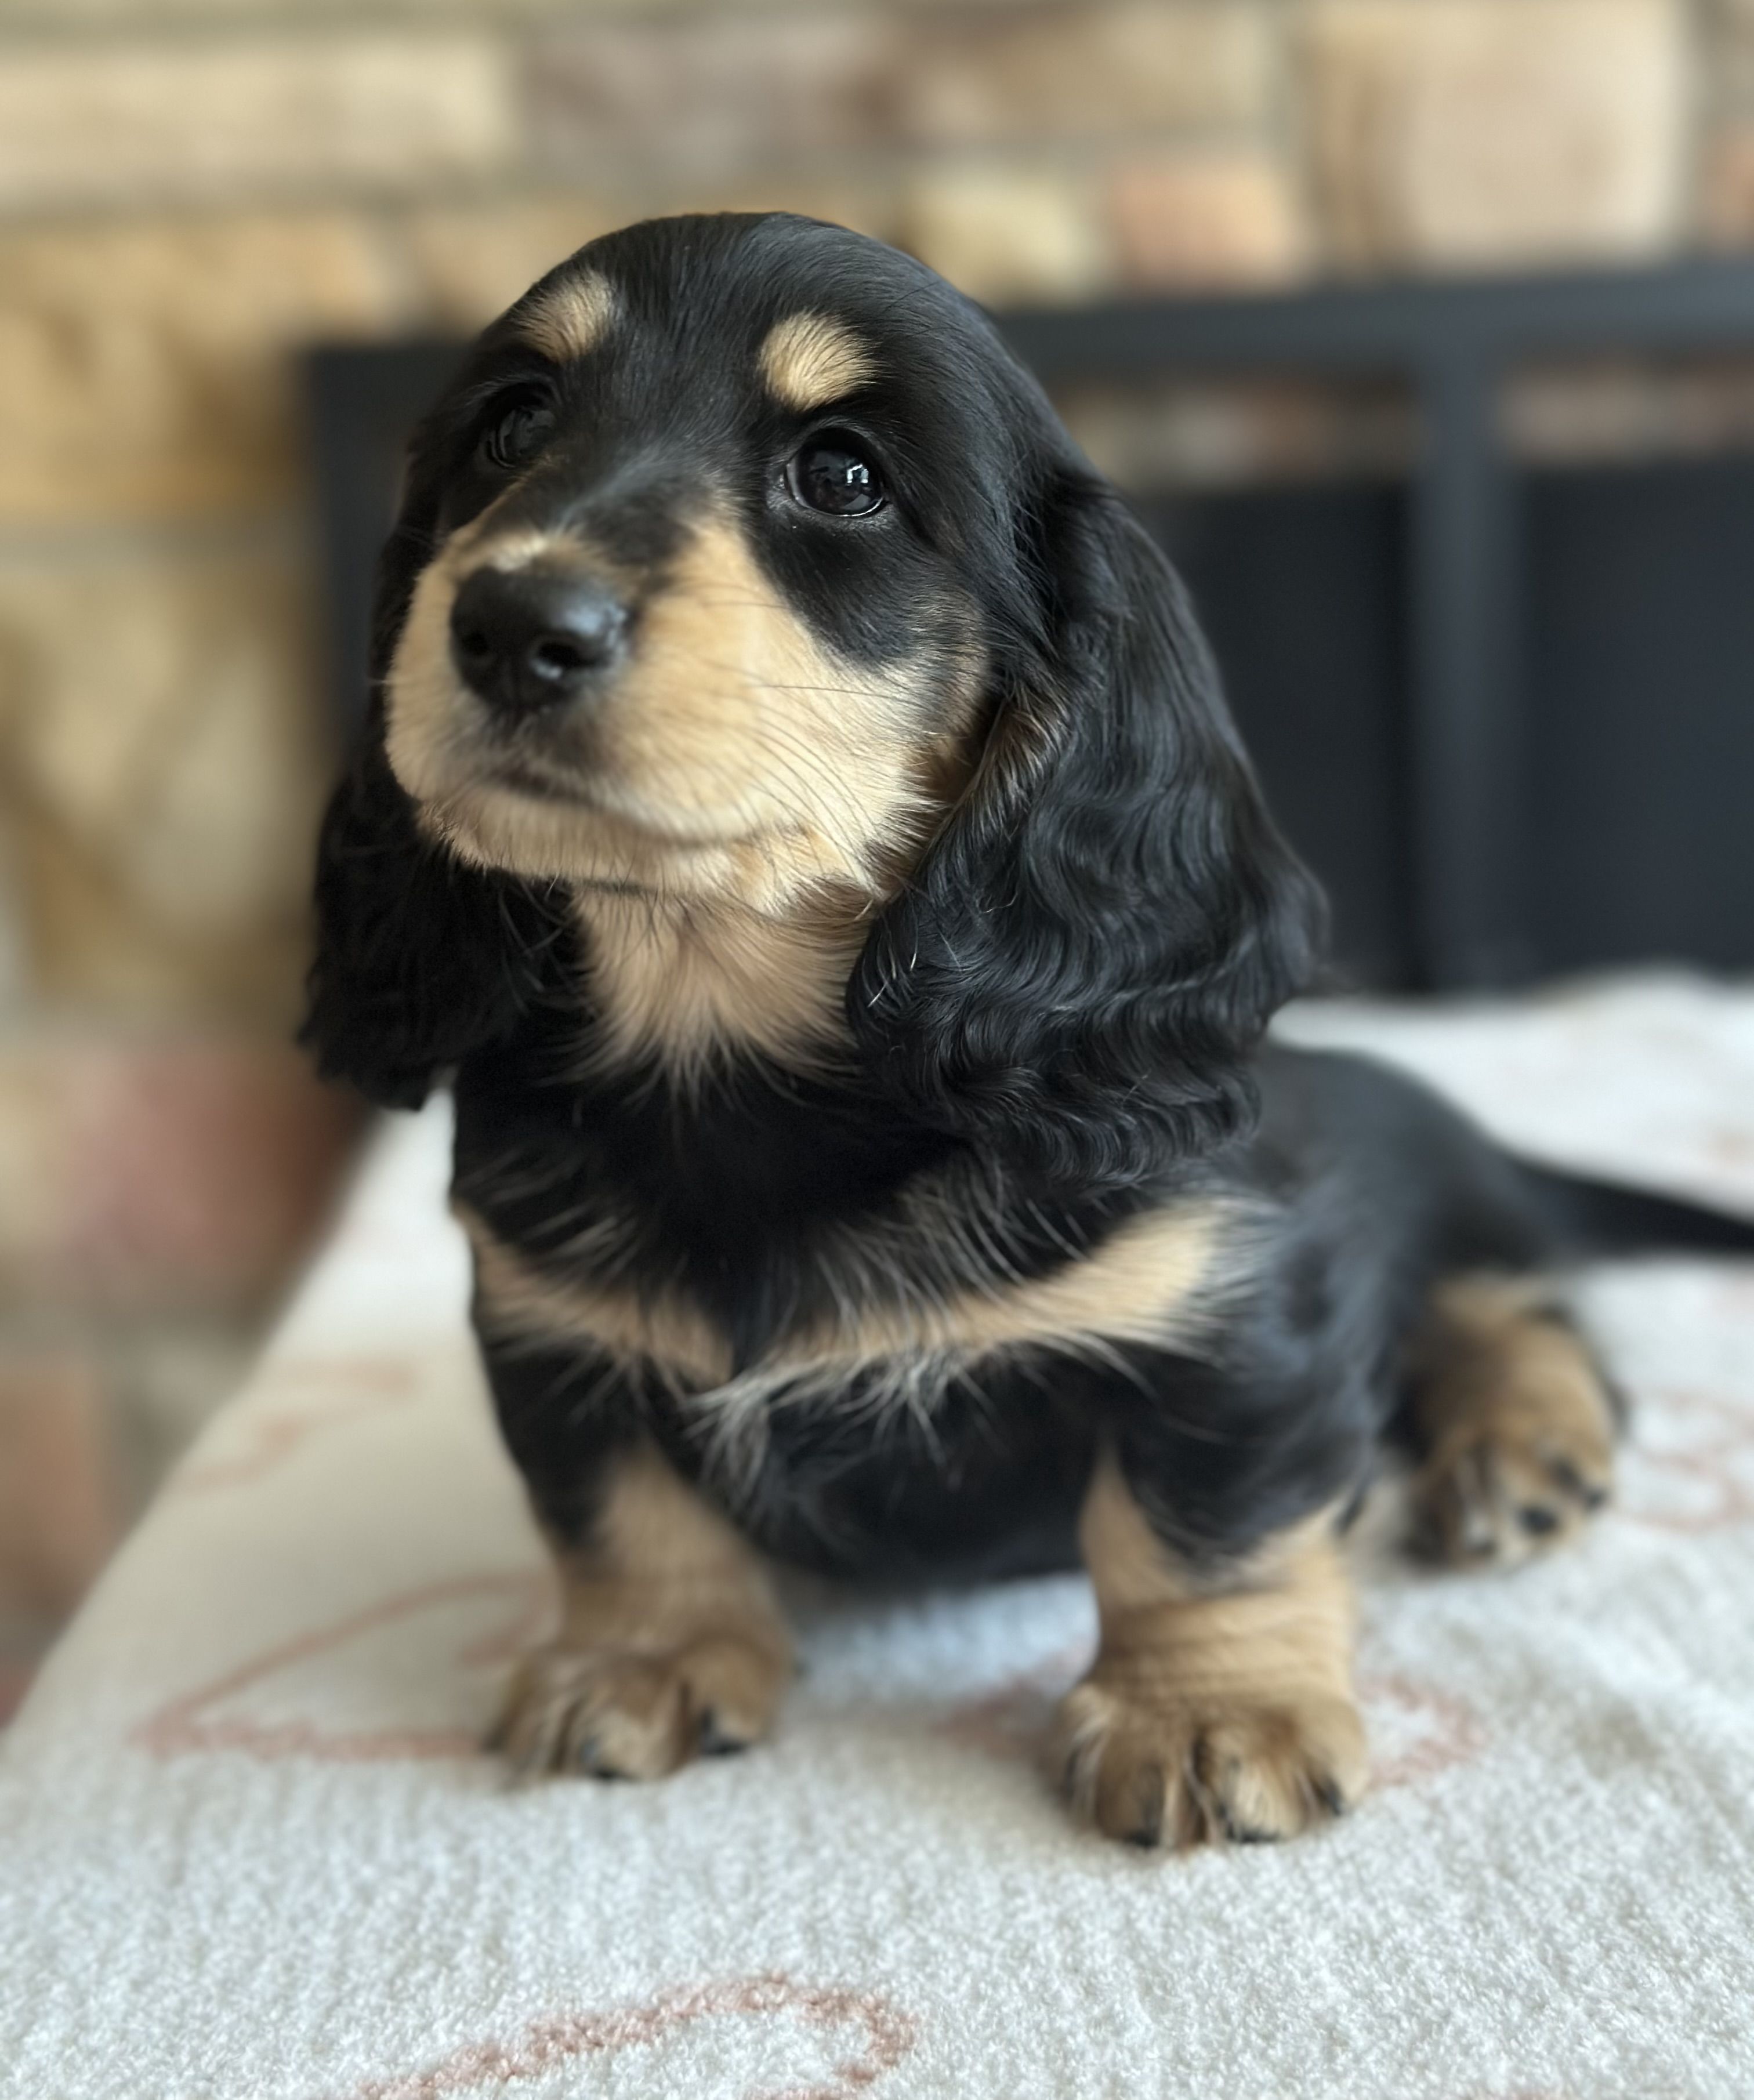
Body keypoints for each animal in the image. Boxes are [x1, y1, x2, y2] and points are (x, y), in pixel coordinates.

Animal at [303, 212, 1753, 1848]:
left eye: (843, 474)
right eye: (511, 425)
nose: (511, 623)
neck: (740, 1065)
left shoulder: (1234, 1313)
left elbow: (1198, 1526)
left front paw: (1208, 1710)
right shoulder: (548, 1332)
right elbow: (618, 1510)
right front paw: (642, 1655)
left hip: (1444, 1203)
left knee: (1524, 1303)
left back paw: (1520, 1439)